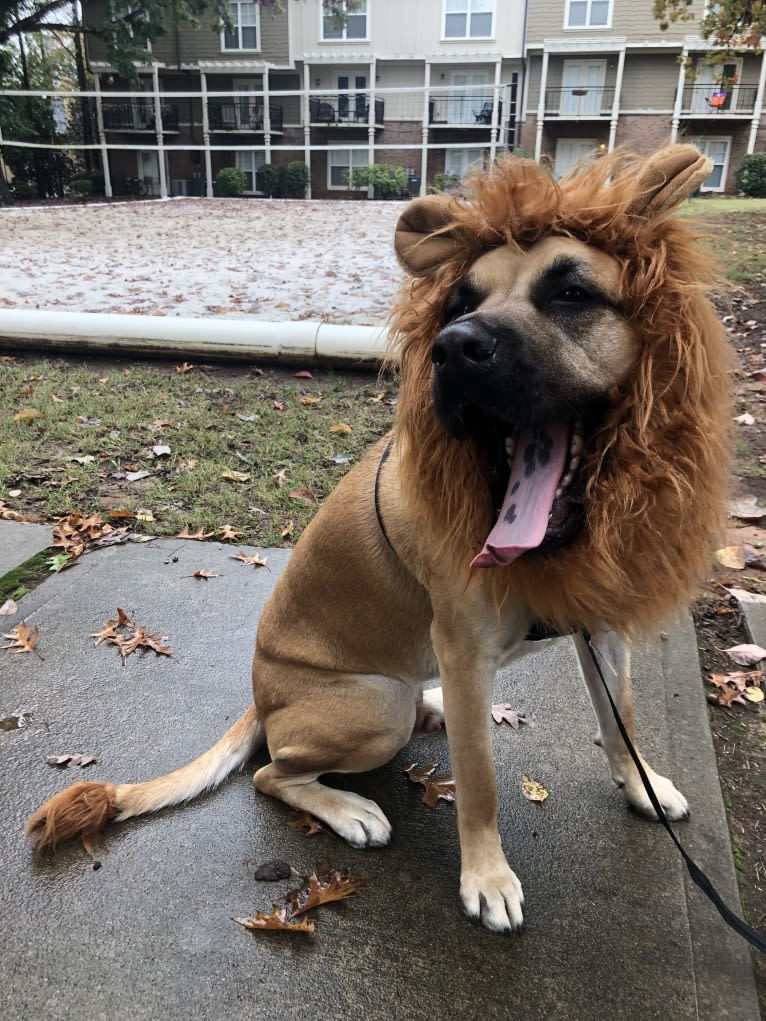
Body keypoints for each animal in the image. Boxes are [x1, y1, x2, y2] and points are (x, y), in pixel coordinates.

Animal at [24, 143, 731, 935]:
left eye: (572, 293)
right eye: (458, 303)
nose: (452, 348)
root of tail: (261, 697)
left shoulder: (599, 627)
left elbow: (623, 721)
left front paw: (642, 788)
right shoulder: (466, 651)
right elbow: (480, 784)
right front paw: (486, 877)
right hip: (373, 706)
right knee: (272, 772)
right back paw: (349, 807)